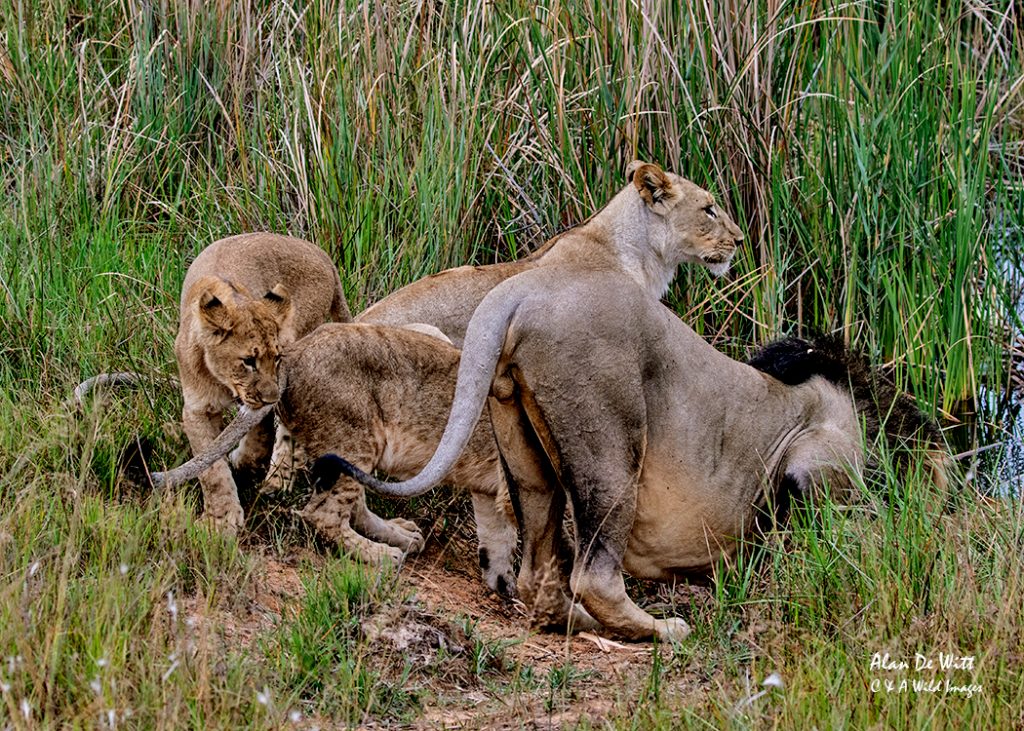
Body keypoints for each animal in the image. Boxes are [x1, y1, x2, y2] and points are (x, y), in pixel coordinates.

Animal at [312, 268, 949, 641]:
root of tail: (518, 290)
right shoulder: (813, 456)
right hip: (613, 443)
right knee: (595, 573)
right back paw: (662, 630)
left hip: (518, 436)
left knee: (537, 570)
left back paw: (571, 619)